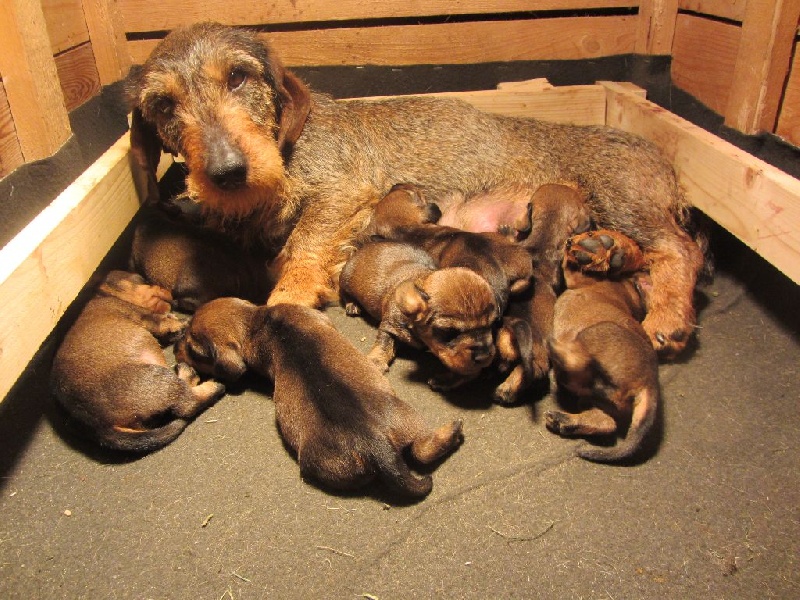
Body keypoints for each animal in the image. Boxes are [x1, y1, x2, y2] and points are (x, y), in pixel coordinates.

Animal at [50, 270, 225, 452]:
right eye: (143, 280)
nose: (167, 290)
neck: (102, 295)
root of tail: (98, 427)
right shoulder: (146, 316)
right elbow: (166, 321)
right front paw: (183, 322)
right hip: (159, 378)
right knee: (187, 403)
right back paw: (204, 381)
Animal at [175, 298, 462, 500]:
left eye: (192, 348)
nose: (175, 352)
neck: (256, 320)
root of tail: (377, 444)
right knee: (422, 450)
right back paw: (454, 430)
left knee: (422, 450)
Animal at [338, 239, 500, 390]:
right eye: (449, 331)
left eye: (492, 324)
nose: (485, 357)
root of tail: (360, 249)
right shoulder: (390, 327)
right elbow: (384, 344)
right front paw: (376, 361)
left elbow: (467, 371)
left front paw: (446, 379)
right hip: (346, 279)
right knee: (344, 293)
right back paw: (352, 304)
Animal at [548, 227, 660, 462]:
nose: (571, 239)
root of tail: (649, 384)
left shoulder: (578, 279)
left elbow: (570, 264)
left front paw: (589, 249)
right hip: (603, 401)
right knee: (606, 422)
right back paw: (564, 421)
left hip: (597, 332)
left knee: (578, 359)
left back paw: (557, 348)